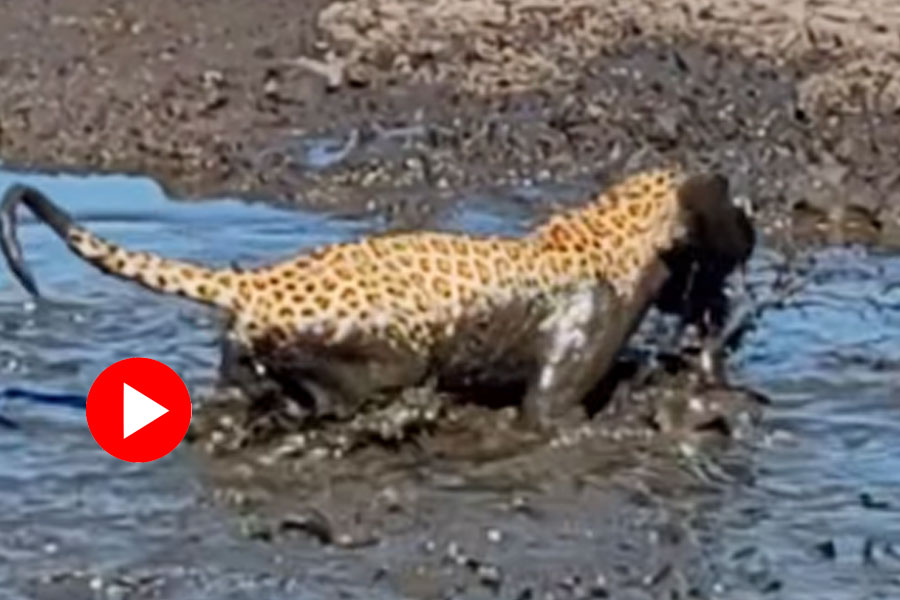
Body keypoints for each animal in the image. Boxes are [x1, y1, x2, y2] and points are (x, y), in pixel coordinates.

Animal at [0, 167, 754, 430]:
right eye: (736, 203)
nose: (755, 232)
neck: (609, 237)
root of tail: (254, 281)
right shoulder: (554, 392)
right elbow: (554, 415)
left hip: (247, 355)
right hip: (389, 363)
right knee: (337, 401)